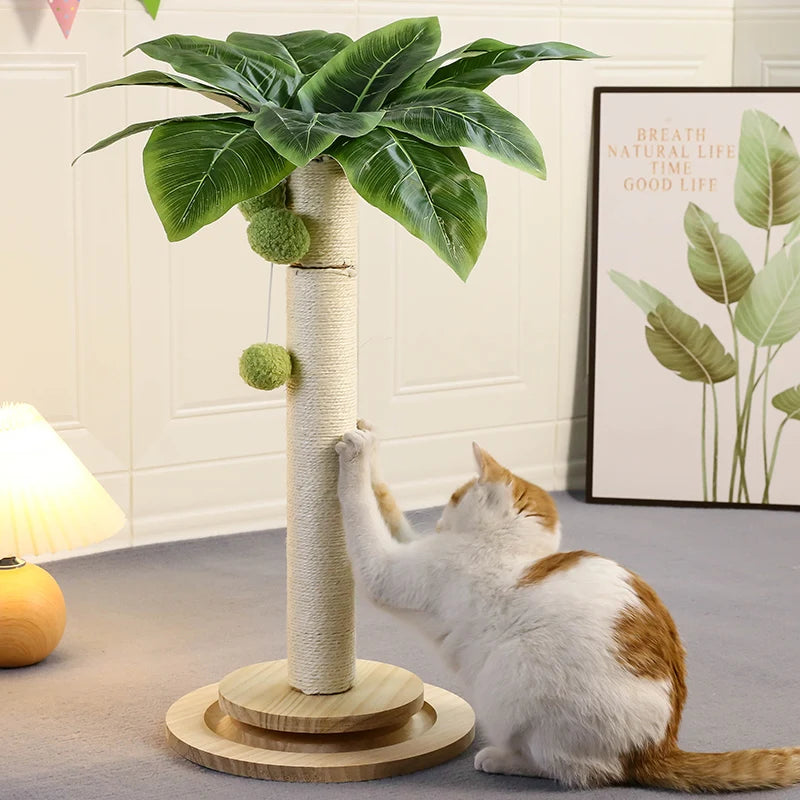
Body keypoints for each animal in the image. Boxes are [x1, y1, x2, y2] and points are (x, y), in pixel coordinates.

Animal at [336, 422, 800, 792]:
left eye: (453, 496)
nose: (436, 520)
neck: (513, 547)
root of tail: (658, 746)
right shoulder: (411, 547)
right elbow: (388, 508)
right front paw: (372, 448)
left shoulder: (390, 573)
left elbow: (362, 517)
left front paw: (357, 455)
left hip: (513, 678)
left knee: (582, 771)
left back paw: (502, 758)